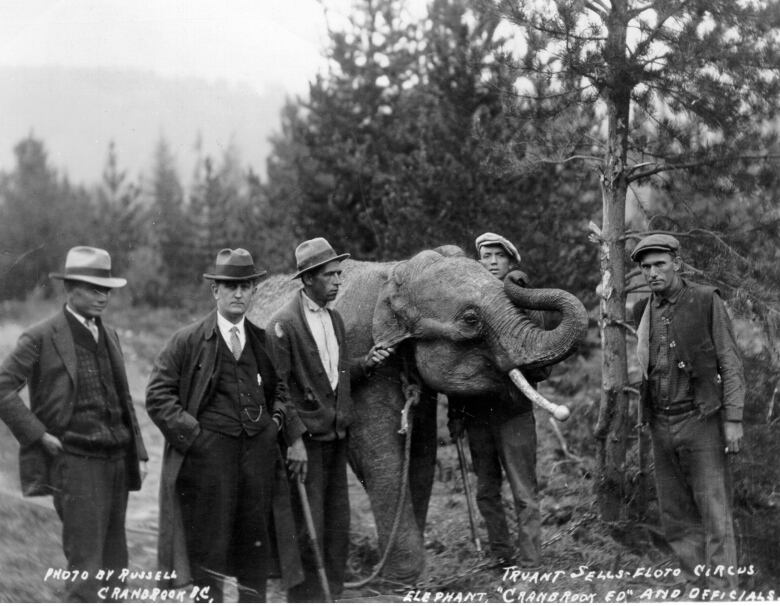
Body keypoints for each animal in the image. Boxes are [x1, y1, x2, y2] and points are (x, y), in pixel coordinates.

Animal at [250, 246, 584, 584]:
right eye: (471, 319)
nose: (518, 276)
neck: (397, 273)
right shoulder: (360, 348)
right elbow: (381, 451)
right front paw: (404, 579)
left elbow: (423, 449)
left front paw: (409, 577)